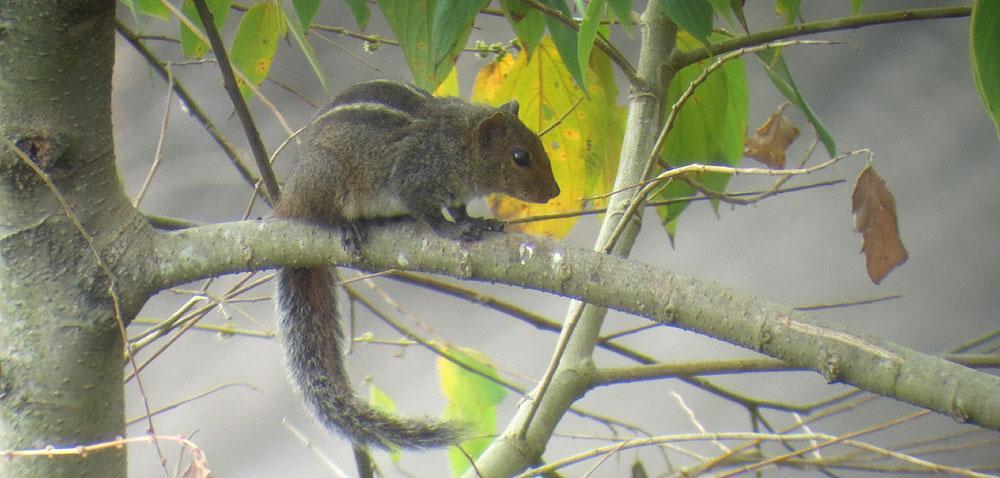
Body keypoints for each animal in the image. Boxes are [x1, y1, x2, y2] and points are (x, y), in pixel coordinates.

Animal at [272, 80, 564, 450]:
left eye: (538, 142)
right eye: (519, 157)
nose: (554, 192)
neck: (458, 143)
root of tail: (289, 200)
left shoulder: (454, 194)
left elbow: (458, 210)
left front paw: (478, 223)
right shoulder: (412, 180)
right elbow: (431, 216)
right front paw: (454, 230)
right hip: (327, 180)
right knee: (319, 215)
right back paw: (344, 226)